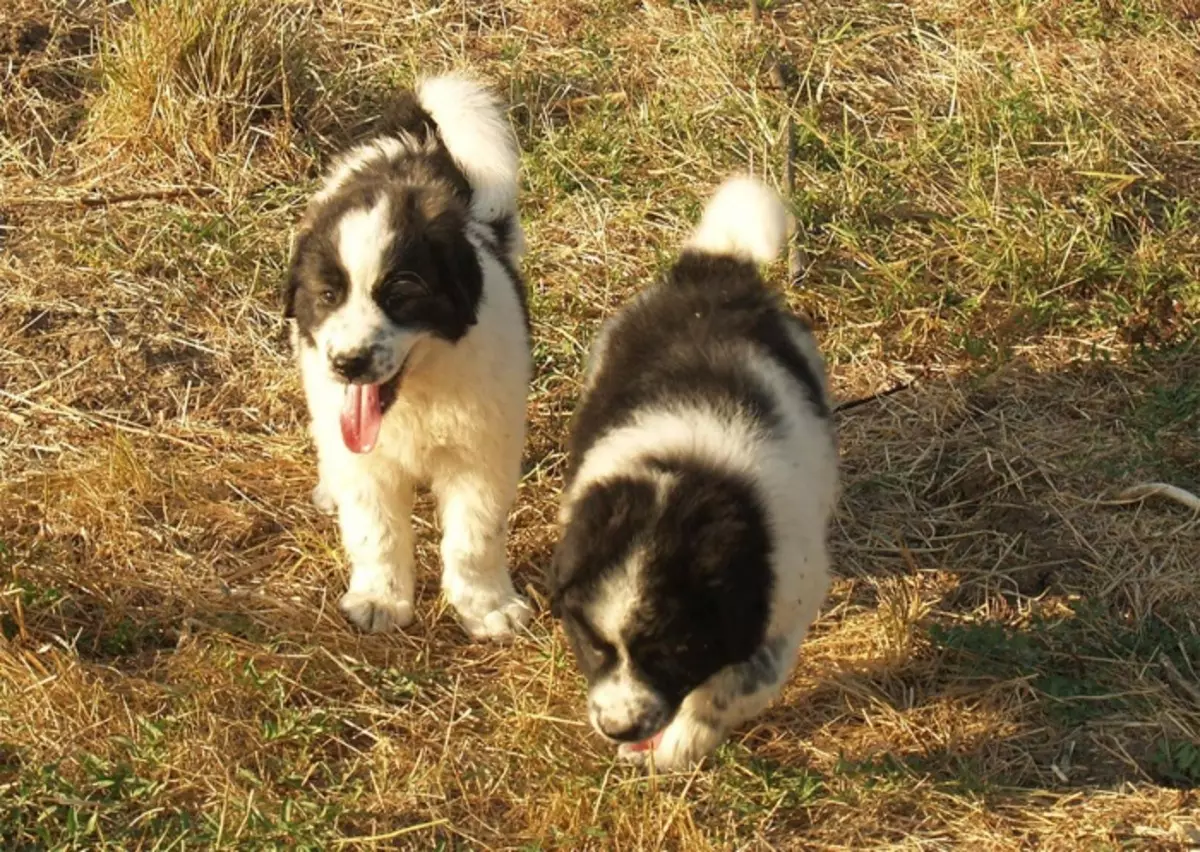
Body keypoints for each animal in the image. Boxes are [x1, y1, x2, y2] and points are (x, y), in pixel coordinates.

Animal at [283, 73, 532, 643]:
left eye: (400, 298)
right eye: (328, 296)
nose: (348, 364)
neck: (418, 390)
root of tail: (413, 143)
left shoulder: (481, 454)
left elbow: (475, 537)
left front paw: (486, 607)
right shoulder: (365, 463)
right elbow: (375, 531)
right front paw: (380, 599)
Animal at [549, 176, 840, 772]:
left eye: (672, 652)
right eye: (594, 646)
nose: (619, 729)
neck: (680, 482)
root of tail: (712, 272)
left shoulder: (783, 600)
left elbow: (738, 685)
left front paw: (682, 743)